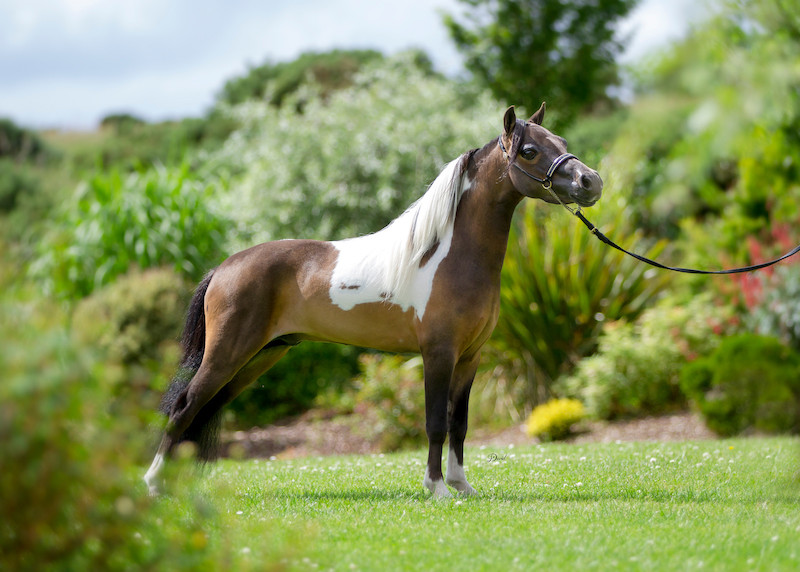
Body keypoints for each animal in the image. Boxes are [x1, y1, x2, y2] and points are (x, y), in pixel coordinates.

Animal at [144, 103, 603, 499]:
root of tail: (224, 267)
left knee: (203, 408)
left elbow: (460, 423)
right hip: (227, 354)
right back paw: (153, 485)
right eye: (530, 151)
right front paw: (437, 488)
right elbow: (435, 422)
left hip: (260, 356)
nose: (591, 182)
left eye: (561, 141)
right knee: (185, 406)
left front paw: (462, 486)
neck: (449, 255)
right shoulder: (438, 353)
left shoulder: (470, 357)